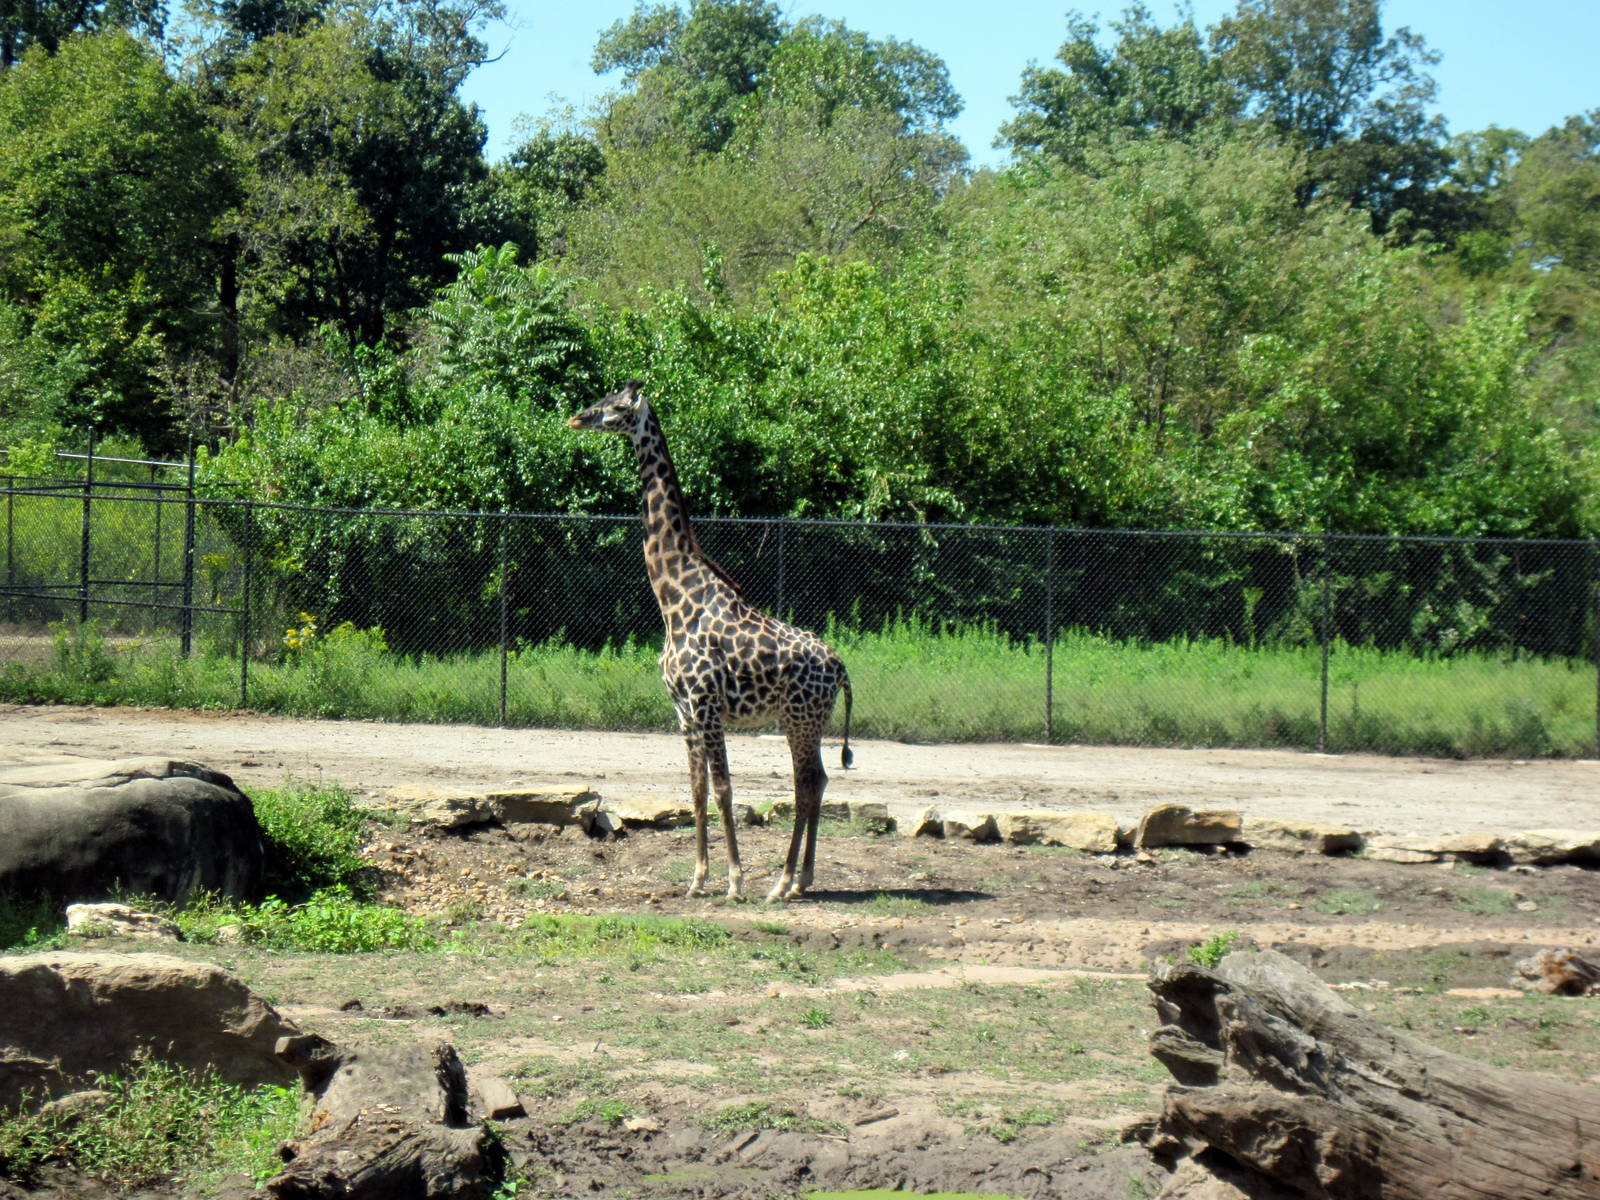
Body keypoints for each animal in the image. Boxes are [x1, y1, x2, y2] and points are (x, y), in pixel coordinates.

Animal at [569, 381, 853, 902]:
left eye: (615, 408)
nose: (578, 418)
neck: (674, 599)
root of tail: (840, 667)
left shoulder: (706, 704)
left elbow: (724, 790)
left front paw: (735, 881)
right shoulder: (683, 711)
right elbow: (697, 791)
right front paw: (698, 879)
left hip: (800, 718)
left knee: (805, 783)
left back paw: (781, 882)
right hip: (805, 719)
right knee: (818, 780)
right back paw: (799, 880)